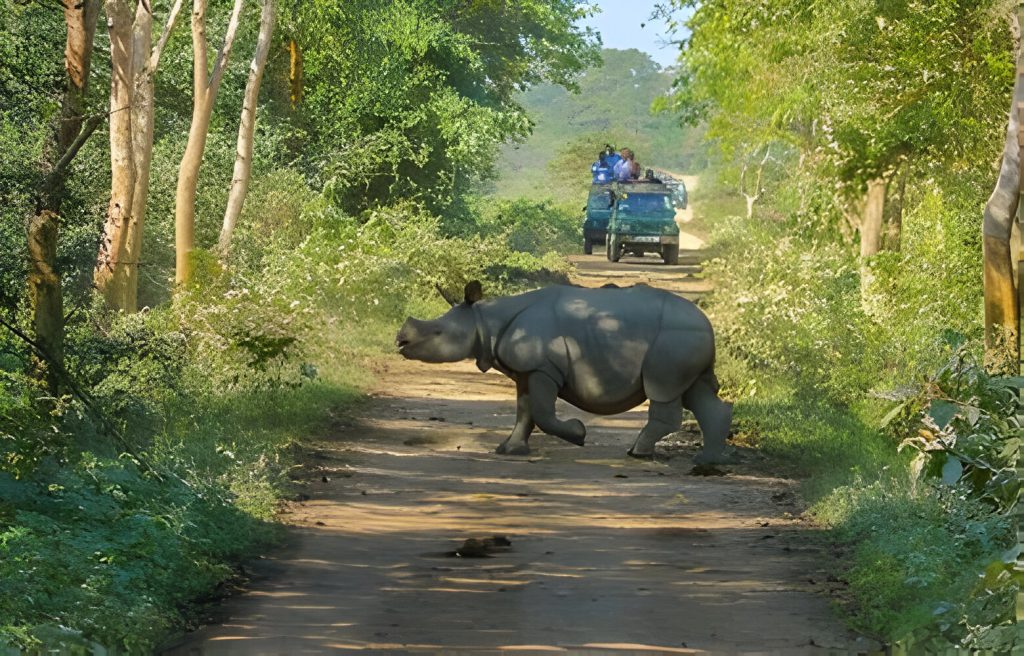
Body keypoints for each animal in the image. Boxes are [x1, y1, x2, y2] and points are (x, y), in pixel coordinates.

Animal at [395, 281, 732, 463]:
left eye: (437, 332)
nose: (400, 341)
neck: (485, 320)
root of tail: (707, 322)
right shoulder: (525, 371)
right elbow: (525, 412)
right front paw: (509, 450)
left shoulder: (543, 368)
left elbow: (543, 413)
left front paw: (578, 434)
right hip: (687, 338)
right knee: (695, 392)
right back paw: (708, 459)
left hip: (674, 337)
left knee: (663, 389)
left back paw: (637, 453)